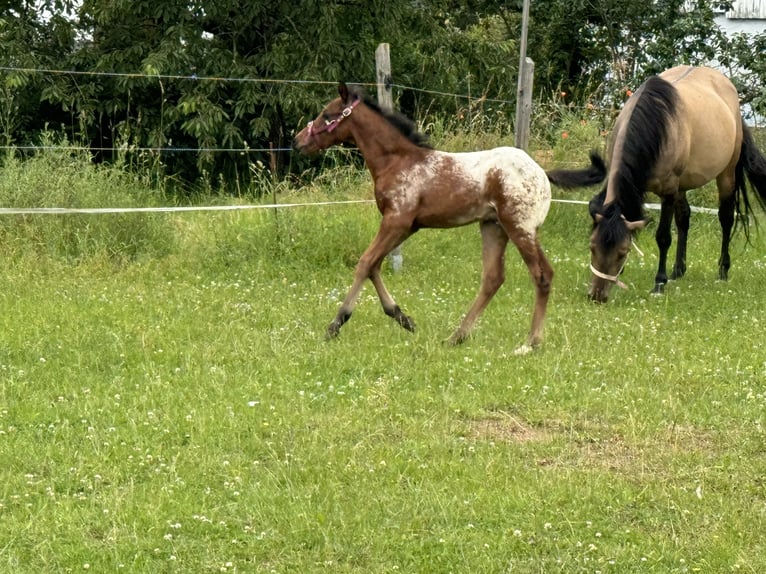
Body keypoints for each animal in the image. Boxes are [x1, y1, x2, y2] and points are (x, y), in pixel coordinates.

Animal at [294, 81, 608, 352]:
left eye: (327, 115)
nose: (298, 142)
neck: (396, 161)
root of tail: (543, 172)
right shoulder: (407, 226)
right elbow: (374, 266)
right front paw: (403, 318)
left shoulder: (396, 220)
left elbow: (364, 263)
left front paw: (336, 324)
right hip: (493, 227)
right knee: (493, 278)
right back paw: (457, 336)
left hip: (520, 228)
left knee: (542, 275)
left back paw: (530, 342)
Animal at [568, 65, 766, 304]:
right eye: (592, 246)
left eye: (623, 252)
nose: (597, 296)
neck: (657, 128)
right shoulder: (671, 188)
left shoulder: (668, 192)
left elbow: (663, 237)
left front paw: (659, 283)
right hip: (683, 185)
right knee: (684, 219)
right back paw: (678, 270)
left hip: (726, 175)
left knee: (726, 218)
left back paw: (722, 271)